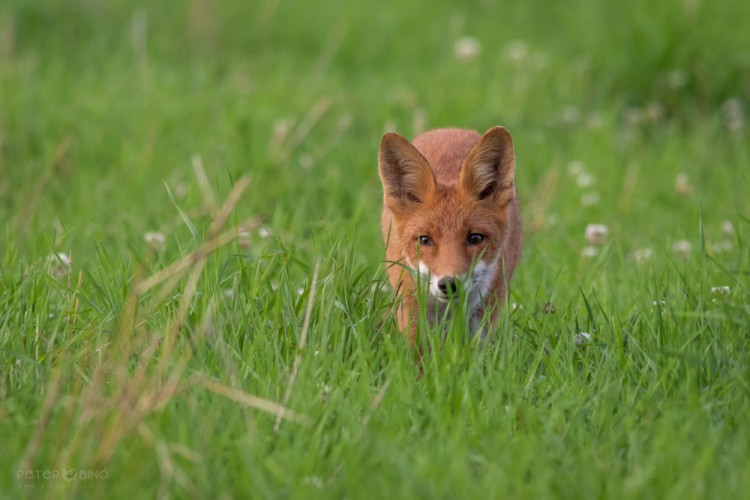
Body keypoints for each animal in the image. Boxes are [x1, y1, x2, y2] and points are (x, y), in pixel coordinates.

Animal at [378, 126, 524, 344]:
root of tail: (449, 129)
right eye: (424, 240)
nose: (449, 284)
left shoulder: (485, 310)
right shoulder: (410, 304)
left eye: (475, 238)